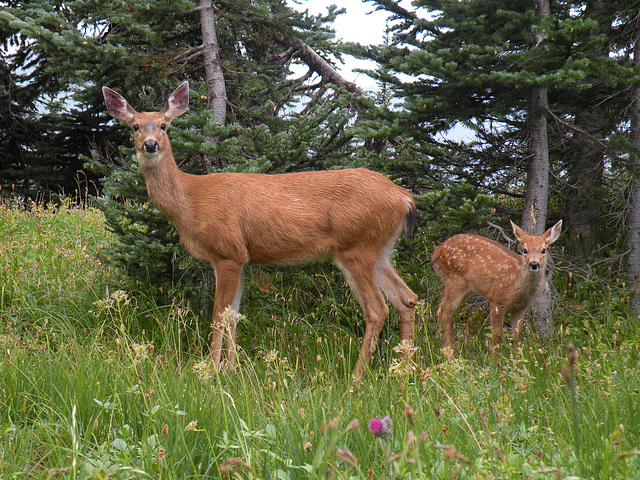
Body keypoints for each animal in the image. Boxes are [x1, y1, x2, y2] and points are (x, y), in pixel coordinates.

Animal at [102, 80, 418, 376]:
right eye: (135, 126)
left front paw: (210, 372)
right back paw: (404, 371)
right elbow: (234, 314)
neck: (191, 202)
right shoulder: (241, 257)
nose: (150, 144)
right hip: (379, 249)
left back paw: (357, 377)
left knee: (377, 309)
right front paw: (231, 369)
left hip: (356, 247)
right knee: (407, 298)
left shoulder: (226, 252)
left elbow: (219, 314)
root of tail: (404, 197)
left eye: (164, 126)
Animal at [430, 219, 560, 358]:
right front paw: (496, 361)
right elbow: (496, 335)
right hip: (455, 280)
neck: (517, 283)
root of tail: (437, 251)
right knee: (444, 310)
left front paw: (517, 359)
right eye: (525, 250)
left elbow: (517, 334)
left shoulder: (521, 306)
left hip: (465, 288)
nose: (534, 264)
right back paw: (450, 355)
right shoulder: (497, 297)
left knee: (444, 310)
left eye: (543, 250)